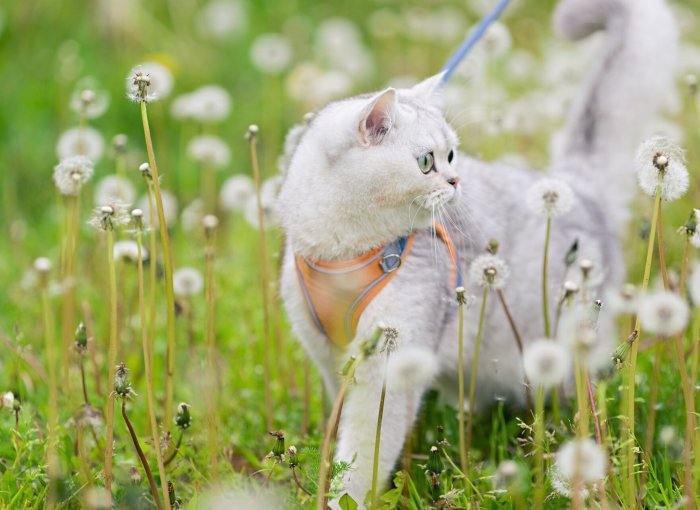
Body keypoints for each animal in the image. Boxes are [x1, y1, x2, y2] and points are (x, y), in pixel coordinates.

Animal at [276, 0, 676, 504]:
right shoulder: (329, 359)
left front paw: (342, 500)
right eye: (426, 161)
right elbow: (339, 434)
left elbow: (364, 458)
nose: (455, 181)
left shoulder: (387, 370)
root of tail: (573, 183)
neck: (342, 249)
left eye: (452, 156)